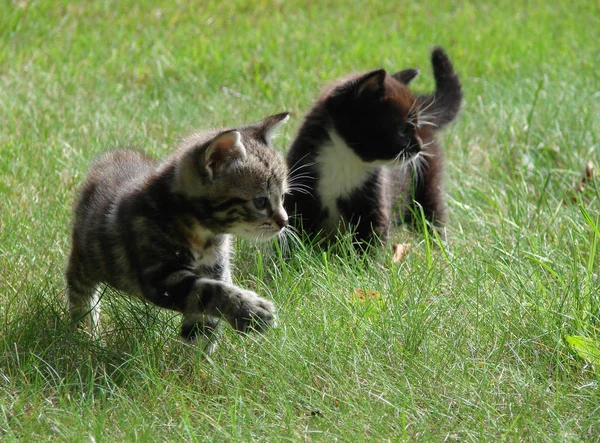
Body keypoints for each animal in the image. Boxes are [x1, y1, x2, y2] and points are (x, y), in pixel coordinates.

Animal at [65, 112, 290, 348]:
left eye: (283, 197)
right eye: (260, 202)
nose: (284, 221)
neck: (202, 236)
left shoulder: (215, 269)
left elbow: (202, 323)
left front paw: (196, 356)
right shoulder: (160, 277)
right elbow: (208, 290)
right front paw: (251, 310)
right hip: (86, 258)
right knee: (79, 289)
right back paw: (85, 332)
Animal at [284, 48, 462, 248]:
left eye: (415, 126)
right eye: (402, 130)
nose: (419, 147)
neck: (346, 160)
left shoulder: (373, 198)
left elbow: (371, 237)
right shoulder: (300, 187)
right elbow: (295, 230)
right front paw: (293, 253)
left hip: (428, 177)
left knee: (431, 208)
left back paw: (437, 244)